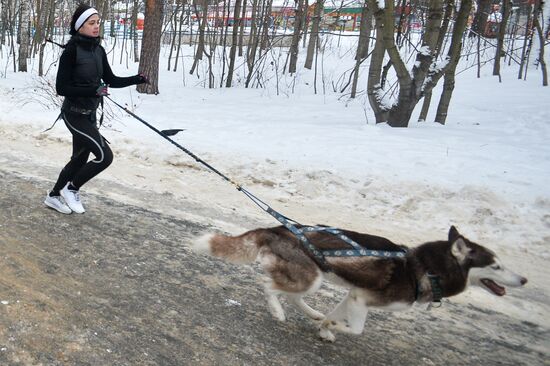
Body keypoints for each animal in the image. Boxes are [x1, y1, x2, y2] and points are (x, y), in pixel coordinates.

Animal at [192, 224, 528, 342]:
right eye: (496, 265)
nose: (524, 278)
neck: (423, 269)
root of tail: (277, 228)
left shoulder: (354, 295)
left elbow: (335, 316)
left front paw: (324, 326)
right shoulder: (362, 300)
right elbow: (355, 329)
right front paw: (331, 328)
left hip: (311, 280)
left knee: (293, 295)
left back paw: (311, 313)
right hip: (311, 278)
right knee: (268, 286)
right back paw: (278, 311)